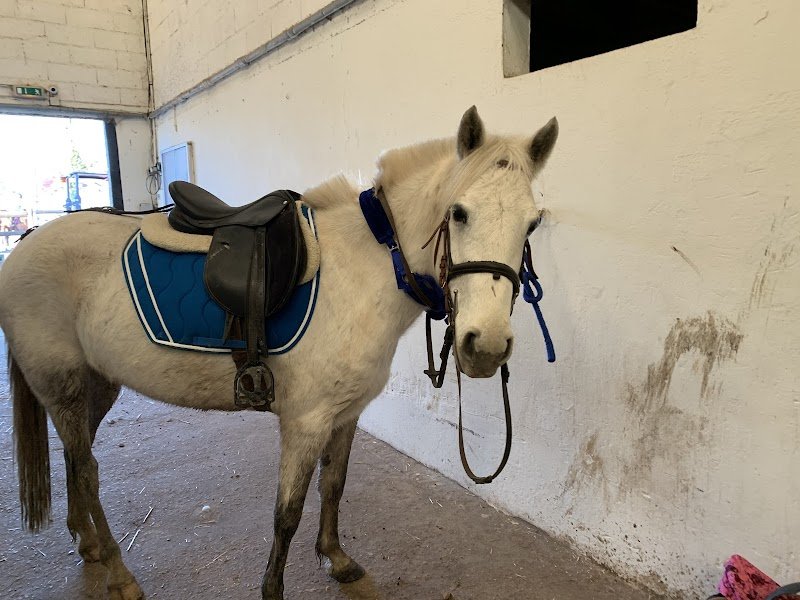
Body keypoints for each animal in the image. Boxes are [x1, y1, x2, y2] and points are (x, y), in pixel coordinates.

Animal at [0, 106, 558, 600]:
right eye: (459, 214)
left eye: (532, 225)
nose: (486, 346)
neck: (363, 270)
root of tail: (26, 242)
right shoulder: (305, 421)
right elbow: (286, 514)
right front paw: (274, 588)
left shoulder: (345, 414)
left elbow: (334, 485)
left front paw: (336, 558)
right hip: (63, 385)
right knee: (88, 471)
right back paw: (119, 575)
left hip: (95, 384)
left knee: (75, 459)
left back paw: (89, 543)